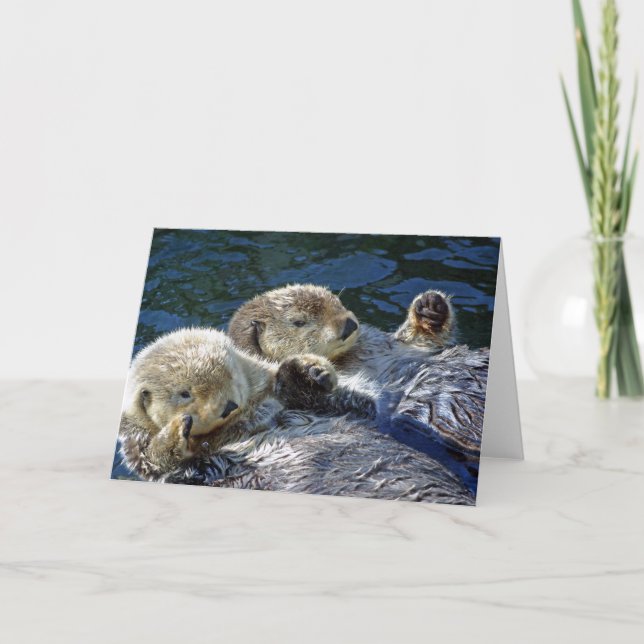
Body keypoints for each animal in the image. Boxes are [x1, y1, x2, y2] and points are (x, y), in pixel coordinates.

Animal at [116, 327, 474, 505]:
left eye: (230, 375)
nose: (228, 406)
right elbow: (164, 464)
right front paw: (176, 432)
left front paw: (308, 370)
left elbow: (356, 402)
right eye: (185, 394)